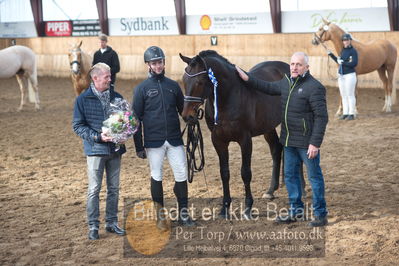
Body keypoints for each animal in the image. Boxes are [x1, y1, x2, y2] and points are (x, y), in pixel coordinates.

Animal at [181, 50, 290, 218]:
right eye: (184, 81)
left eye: (199, 82)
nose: (187, 116)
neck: (229, 97)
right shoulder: (218, 140)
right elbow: (224, 173)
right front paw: (225, 208)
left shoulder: (245, 140)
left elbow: (245, 173)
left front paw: (248, 207)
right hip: (267, 127)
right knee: (276, 149)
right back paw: (270, 190)